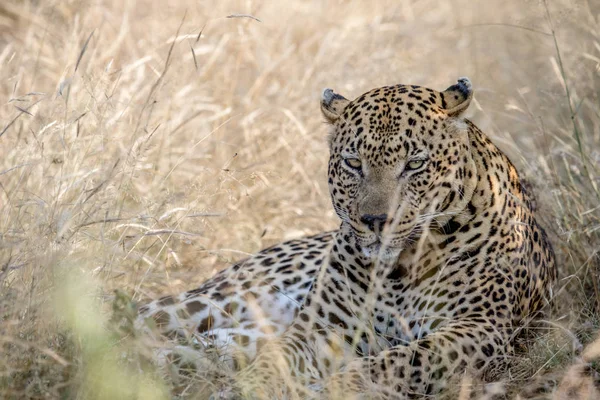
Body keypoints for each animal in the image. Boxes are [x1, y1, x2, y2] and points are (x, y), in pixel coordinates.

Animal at [137, 78, 556, 400]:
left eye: (414, 164)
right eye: (354, 163)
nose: (375, 221)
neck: (399, 269)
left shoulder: (479, 327)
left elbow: (400, 362)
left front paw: (337, 386)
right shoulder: (318, 329)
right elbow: (278, 360)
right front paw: (254, 386)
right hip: (216, 300)